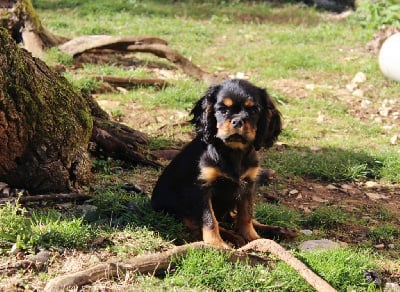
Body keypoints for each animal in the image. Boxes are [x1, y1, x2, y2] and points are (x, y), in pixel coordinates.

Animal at [152, 78, 298, 248]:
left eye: (253, 110)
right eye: (222, 109)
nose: (237, 122)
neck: (233, 151)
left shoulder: (248, 185)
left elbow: (246, 215)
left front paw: (254, 238)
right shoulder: (202, 188)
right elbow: (209, 219)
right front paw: (217, 244)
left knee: (233, 216)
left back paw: (280, 230)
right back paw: (233, 236)